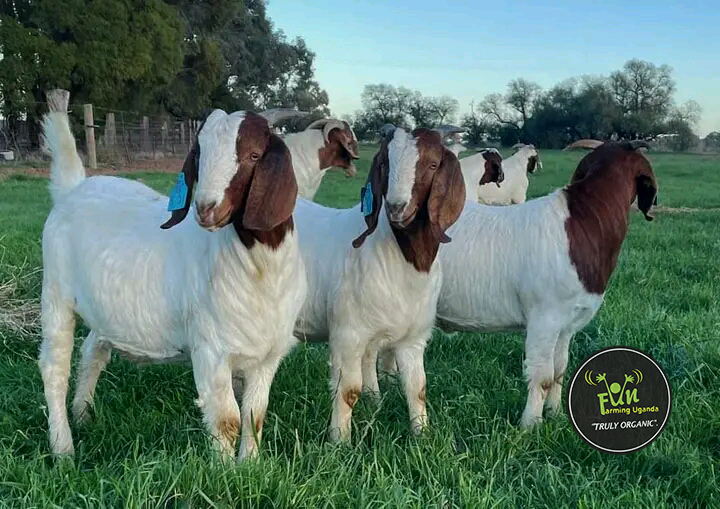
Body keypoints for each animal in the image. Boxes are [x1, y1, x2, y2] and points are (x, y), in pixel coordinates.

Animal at [39, 91, 307, 461]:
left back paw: (84, 414)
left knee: (93, 349)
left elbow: (255, 415)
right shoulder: (210, 349)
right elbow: (227, 419)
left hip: (104, 309)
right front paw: (225, 470)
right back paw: (63, 448)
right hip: (55, 294)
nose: (206, 209)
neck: (260, 268)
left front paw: (251, 465)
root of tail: (73, 188)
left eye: (253, 155)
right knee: (54, 368)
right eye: (200, 154)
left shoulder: (268, 355)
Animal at [292, 126, 501, 442]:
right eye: (385, 164)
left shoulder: (413, 338)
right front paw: (339, 441)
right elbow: (347, 391)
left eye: (432, 164)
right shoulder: (347, 334)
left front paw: (422, 436)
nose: (396, 207)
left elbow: (417, 388)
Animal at [377, 140, 658, 428]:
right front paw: (530, 425)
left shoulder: (567, 325)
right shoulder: (545, 318)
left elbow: (560, 370)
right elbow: (543, 376)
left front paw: (556, 414)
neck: (582, 226)